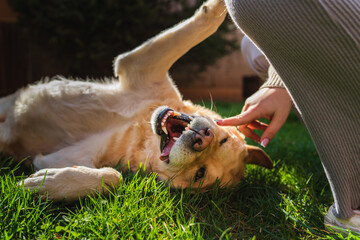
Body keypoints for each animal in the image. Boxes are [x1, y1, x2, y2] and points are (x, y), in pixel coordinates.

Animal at [0, 0, 272, 201]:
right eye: (223, 139)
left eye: (199, 174)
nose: (202, 139)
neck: (141, 128)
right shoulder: (141, 64)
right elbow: (206, 24)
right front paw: (219, 6)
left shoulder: (57, 158)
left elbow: (114, 177)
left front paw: (48, 184)